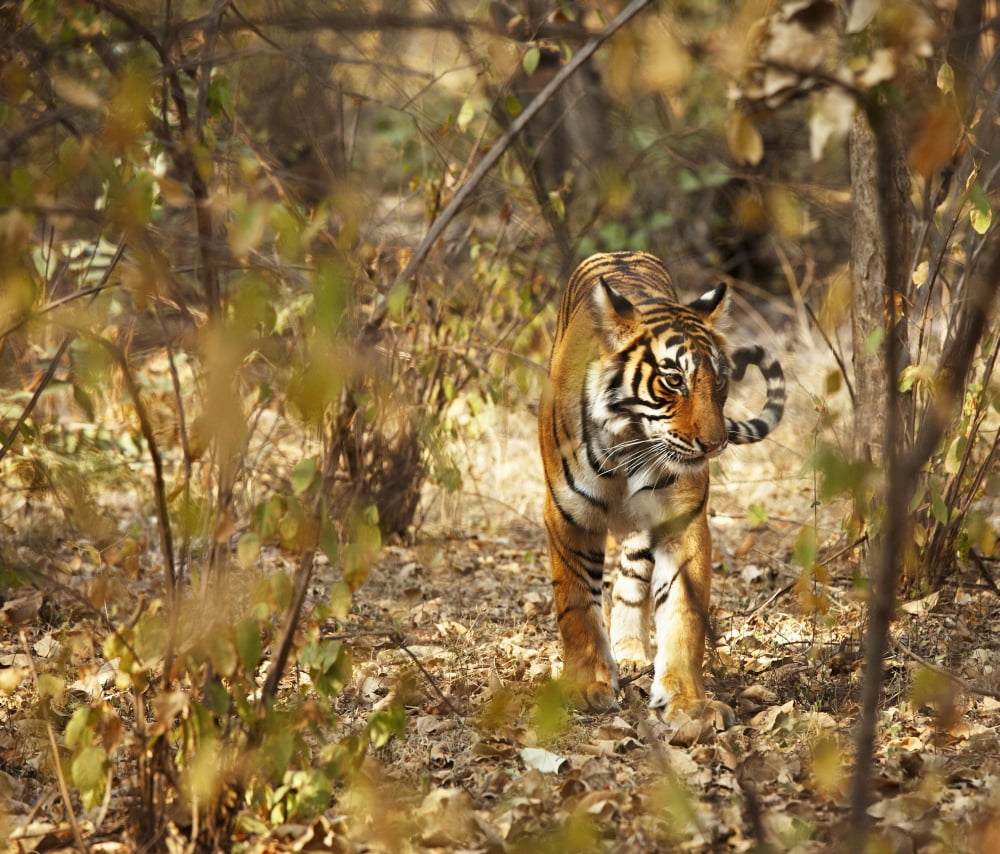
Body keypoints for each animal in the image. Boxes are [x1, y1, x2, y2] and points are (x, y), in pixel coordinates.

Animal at [538, 251, 785, 718]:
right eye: (674, 380)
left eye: (719, 381)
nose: (715, 443)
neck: (629, 443)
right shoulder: (569, 517)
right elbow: (576, 604)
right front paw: (587, 684)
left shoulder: (681, 521)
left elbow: (683, 613)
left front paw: (686, 699)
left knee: (630, 581)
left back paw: (631, 652)